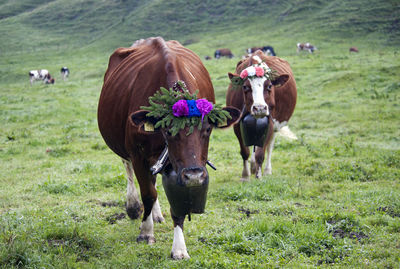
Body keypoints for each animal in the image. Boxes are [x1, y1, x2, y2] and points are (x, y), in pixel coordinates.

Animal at [97, 36, 241, 258]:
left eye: (208, 129)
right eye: (168, 131)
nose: (194, 176)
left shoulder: (177, 167)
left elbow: (175, 204)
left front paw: (179, 248)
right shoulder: (138, 154)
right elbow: (148, 194)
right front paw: (146, 233)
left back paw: (156, 215)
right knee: (129, 170)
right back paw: (133, 207)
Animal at [227, 50, 296, 180]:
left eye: (269, 86)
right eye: (245, 87)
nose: (259, 108)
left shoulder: (270, 123)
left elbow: (261, 152)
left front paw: (259, 176)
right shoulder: (237, 125)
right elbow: (245, 151)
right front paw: (245, 175)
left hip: (275, 127)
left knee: (269, 146)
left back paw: (267, 170)